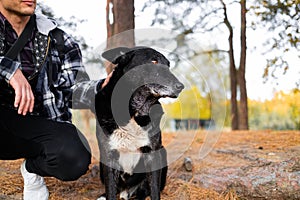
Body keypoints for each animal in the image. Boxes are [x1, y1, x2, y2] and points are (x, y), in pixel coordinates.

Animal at [95, 47, 183, 200]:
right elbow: (111, 191)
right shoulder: (108, 155)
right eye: (154, 61)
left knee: (143, 191)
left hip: (162, 153)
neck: (134, 112)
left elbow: (154, 191)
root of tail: (126, 191)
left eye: (168, 65)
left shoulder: (153, 154)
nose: (181, 86)